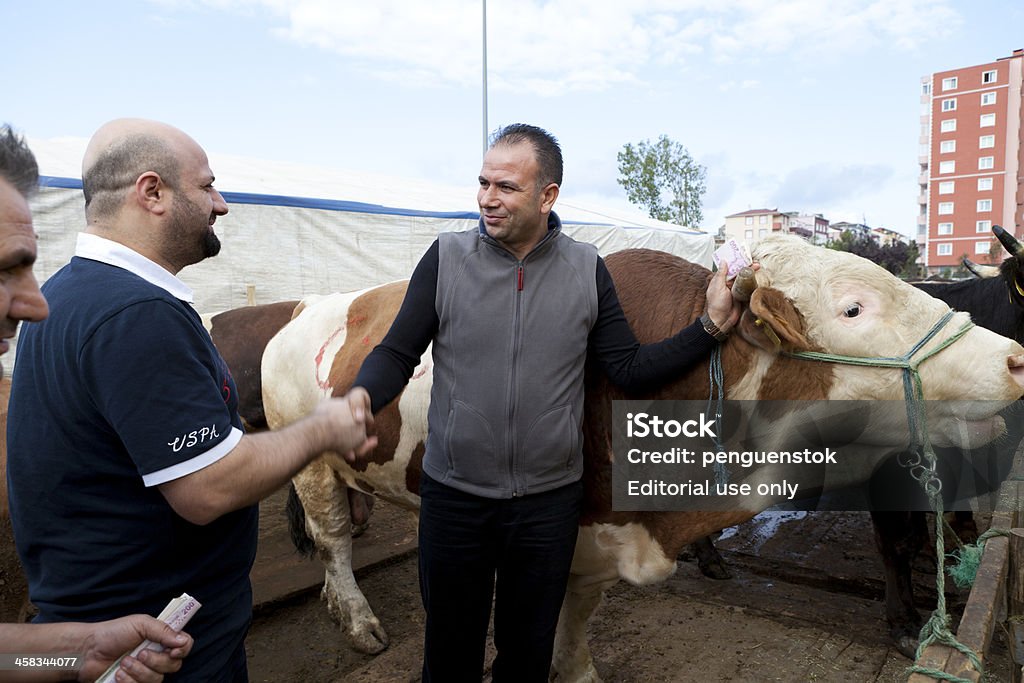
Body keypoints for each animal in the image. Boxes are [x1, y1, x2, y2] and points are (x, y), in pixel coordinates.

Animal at [258, 236, 1024, 683]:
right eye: (855, 308)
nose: (1015, 357)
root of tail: (299, 311)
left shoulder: (595, 538)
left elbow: (576, 617)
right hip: (311, 463)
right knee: (333, 540)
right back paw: (355, 617)